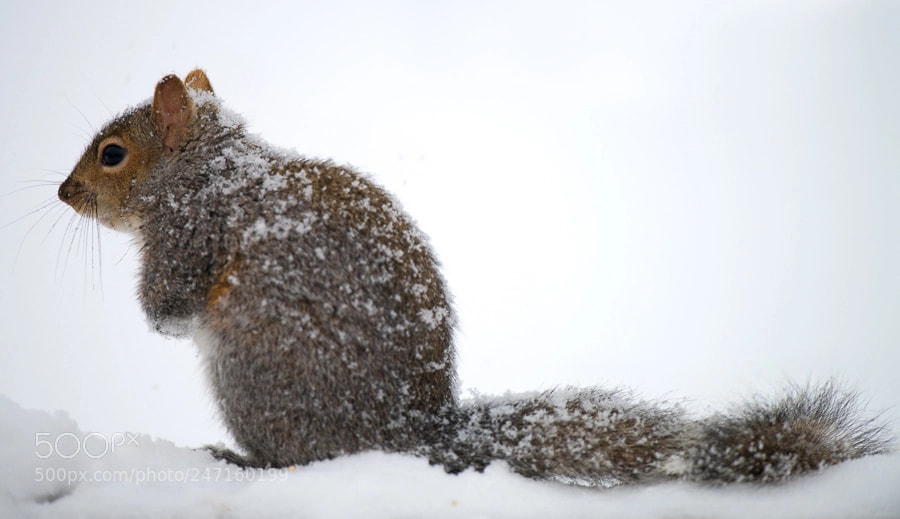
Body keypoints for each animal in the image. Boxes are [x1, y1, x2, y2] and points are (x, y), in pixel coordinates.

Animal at [58, 69, 892, 486]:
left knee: (293, 457)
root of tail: (407, 431)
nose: (64, 193)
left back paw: (242, 458)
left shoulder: (188, 238)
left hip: (250, 370)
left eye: (112, 154)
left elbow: (170, 304)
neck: (209, 167)